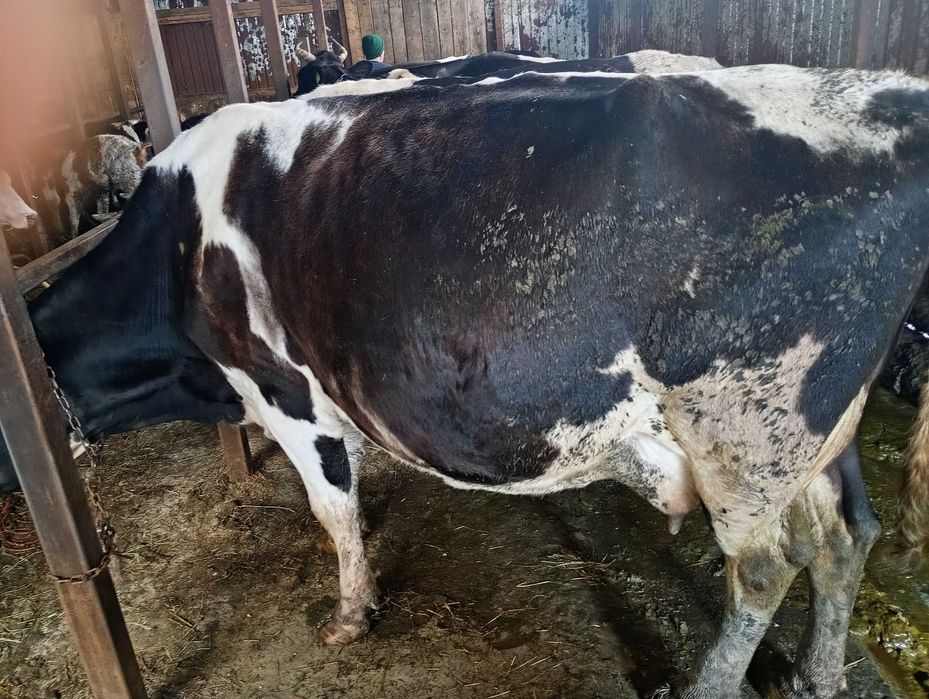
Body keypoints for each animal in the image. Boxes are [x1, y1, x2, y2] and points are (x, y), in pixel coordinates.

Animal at [1, 66, 928, 699]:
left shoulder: (285, 392)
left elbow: (331, 510)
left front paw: (350, 613)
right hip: (818, 437)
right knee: (845, 537)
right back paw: (815, 674)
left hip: (747, 432)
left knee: (766, 566)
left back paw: (707, 685)